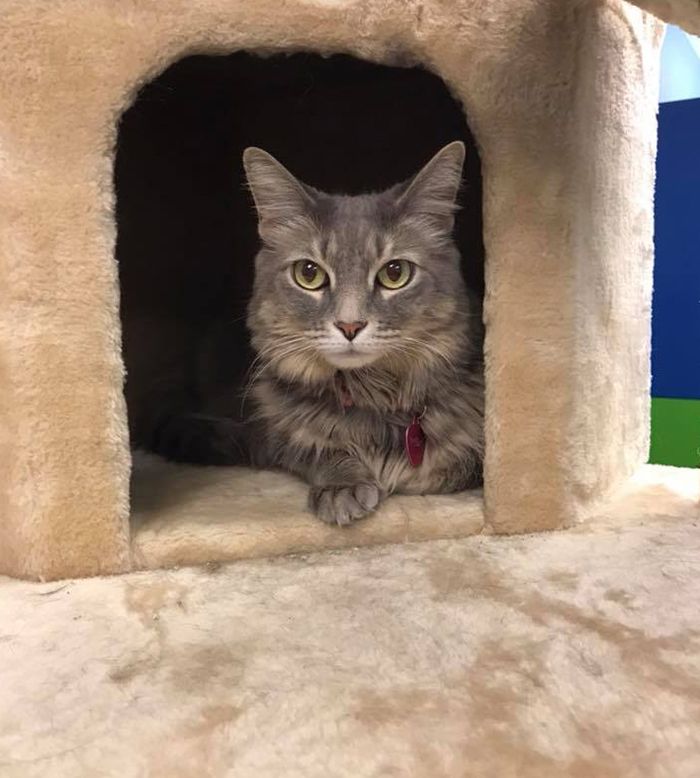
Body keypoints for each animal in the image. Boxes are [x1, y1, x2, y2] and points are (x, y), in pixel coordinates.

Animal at [150, 142, 484, 524]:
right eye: (308, 274)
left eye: (395, 273)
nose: (350, 325)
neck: (373, 397)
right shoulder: (275, 435)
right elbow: (320, 452)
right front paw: (342, 486)